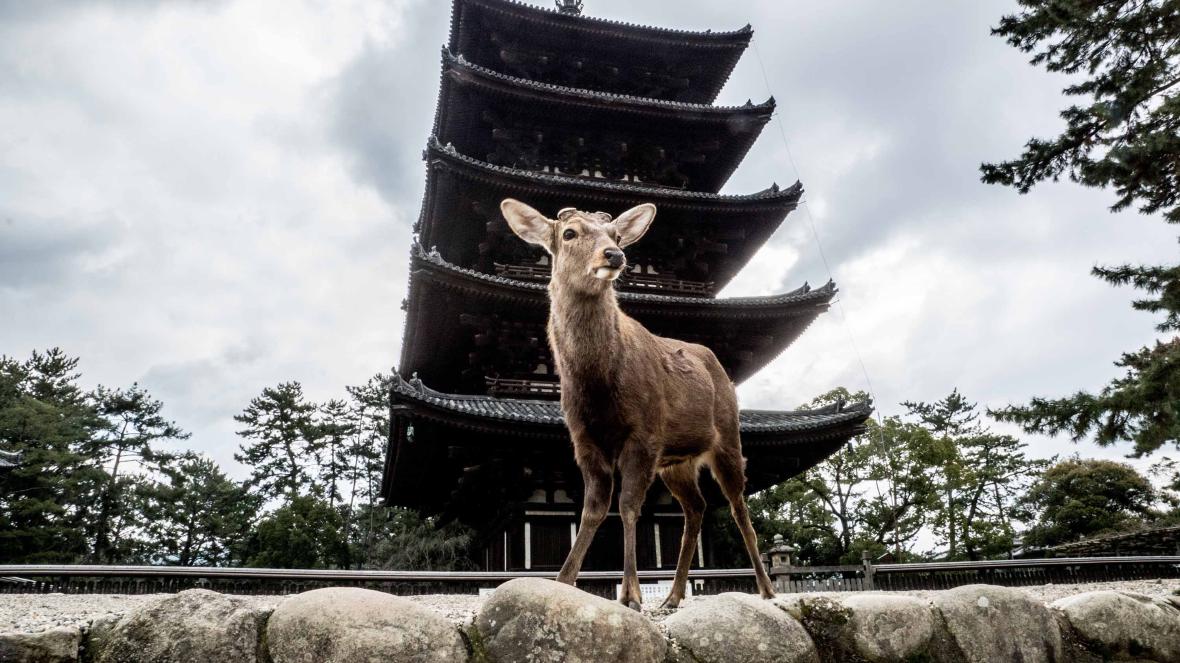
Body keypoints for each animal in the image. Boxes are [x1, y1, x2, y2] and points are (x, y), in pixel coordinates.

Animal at [500, 198, 777, 610]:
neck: (598, 384)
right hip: (676, 462)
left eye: (615, 234)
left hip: (727, 436)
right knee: (696, 508)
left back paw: (766, 588)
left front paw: (630, 593)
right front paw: (562, 581)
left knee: (739, 507)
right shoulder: (583, 439)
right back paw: (673, 596)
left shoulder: (644, 433)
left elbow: (628, 506)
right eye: (569, 233)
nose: (613, 254)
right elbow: (593, 509)